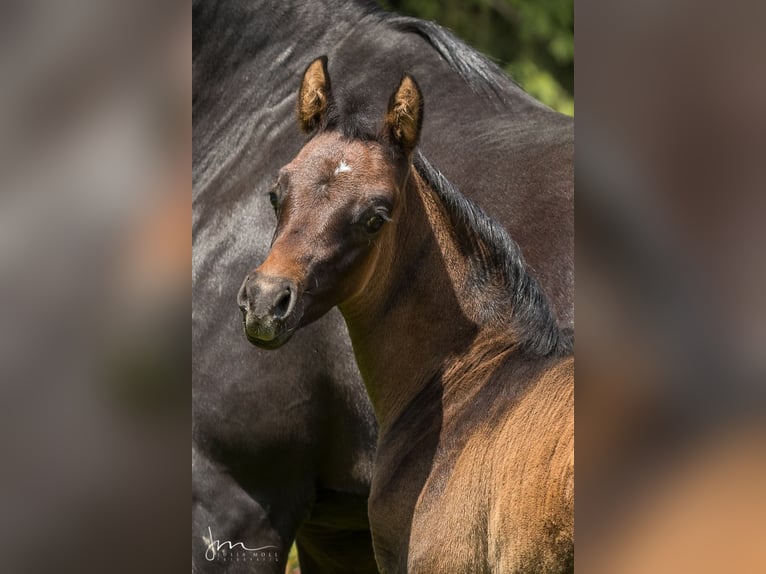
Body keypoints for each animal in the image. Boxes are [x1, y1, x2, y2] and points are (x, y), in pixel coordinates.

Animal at [195, 2, 572, 572]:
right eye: (276, 192)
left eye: (376, 218)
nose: (264, 303)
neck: (480, 376)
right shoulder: (334, 529)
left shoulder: (234, 493)